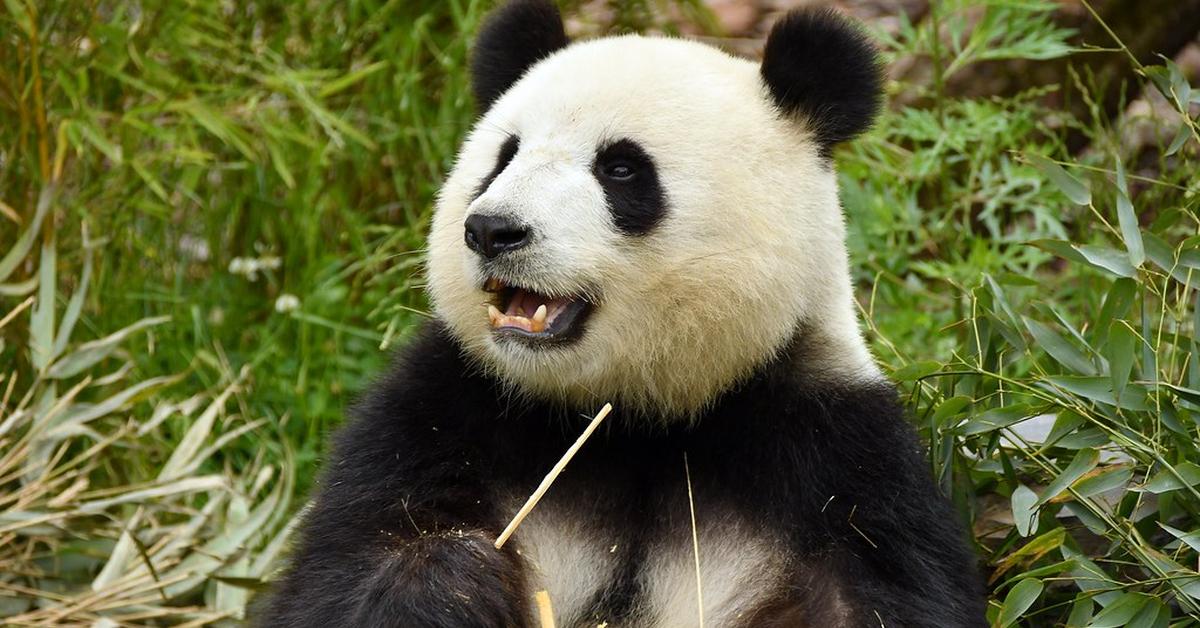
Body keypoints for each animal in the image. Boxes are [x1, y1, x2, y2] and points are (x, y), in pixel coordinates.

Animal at [262, 2, 984, 624]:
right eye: (503, 156)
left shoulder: (831, 457)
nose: (493, 230)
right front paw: (450, 578)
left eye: (621, 168)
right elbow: (350, 570)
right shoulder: (439, 417)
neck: (631, 417)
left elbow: (873, 591)